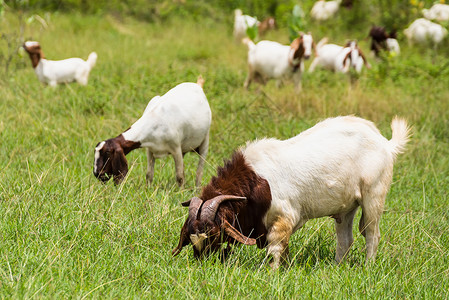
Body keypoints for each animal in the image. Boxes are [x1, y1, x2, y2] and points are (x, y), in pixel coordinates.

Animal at [173, 115, 412, 270]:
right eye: (191, 238)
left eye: (214, 234)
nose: (204, 263)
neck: (254, 180)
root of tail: (385, 144)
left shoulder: (284, 216)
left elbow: (276, 246)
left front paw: (272, 272)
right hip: (346, 207)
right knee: (345, 238)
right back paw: (336, 267)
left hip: (374, 194)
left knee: (371, 232)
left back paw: (368, 266)